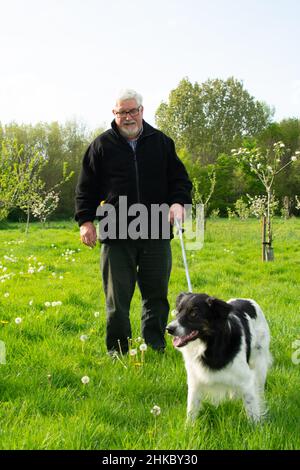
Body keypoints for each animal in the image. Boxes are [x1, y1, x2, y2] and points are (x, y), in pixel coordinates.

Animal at [166, 294, 272, 422]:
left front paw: (255, 426)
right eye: (177, 311)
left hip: (259, 363)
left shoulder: (247, 380)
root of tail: (247, 299)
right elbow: (191, 408)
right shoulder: (194, 379)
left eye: (193, 313)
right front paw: (189, 426)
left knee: (259, 387)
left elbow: (252, 407)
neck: (209, 345)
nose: (169, 329)